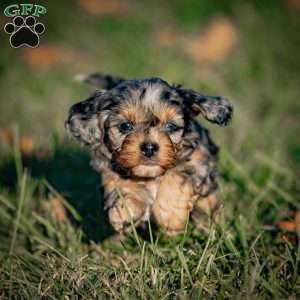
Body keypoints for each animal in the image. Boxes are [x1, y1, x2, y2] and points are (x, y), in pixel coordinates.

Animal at [66, 74, 234, 236]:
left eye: (171, 126)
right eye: (125, 126)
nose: (149, 147)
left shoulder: (199, 163)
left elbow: (174, 178)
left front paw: (170, 217)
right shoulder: (111, 170)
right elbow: (122, 187)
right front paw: (123, 213)